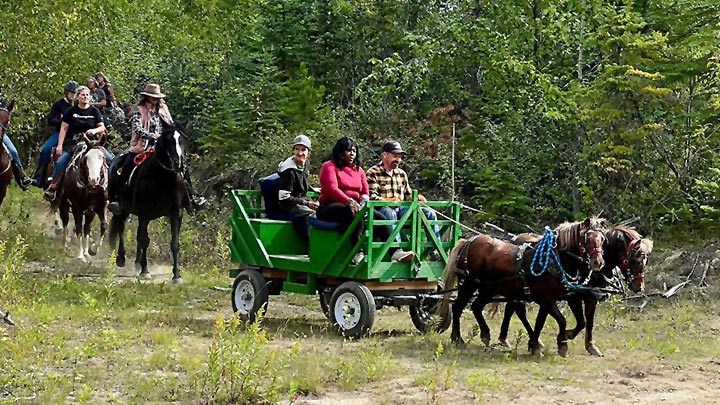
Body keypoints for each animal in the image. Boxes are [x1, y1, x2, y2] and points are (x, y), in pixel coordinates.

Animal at [107, 121, 188, 282]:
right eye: (168, 140)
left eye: (182, 140)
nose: (179, 164)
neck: (163, 179)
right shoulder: (145, 213)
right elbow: (144, 240)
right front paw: (145, 271)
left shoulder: (176, 214)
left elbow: (175, 243)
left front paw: (176, 275)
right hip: (122, 209)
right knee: (121, 228)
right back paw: (121, 259)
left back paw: (137, 263)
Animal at [436, 218, 604, 356]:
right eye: (587, 238)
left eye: (602, 239)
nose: (598, 262)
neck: (553, 260)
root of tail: (468, 242)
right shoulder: (546, 299)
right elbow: (561, 320)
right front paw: (562, 344)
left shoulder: (557, 298)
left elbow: (546, 321)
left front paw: (536, 345)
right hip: (468, 285)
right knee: (458, 307)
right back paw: (458, 339)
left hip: (487, 288)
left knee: (476, 307)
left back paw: (485, 335)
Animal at [496, 224, 652, 356]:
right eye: (634, 260)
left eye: (645, 261)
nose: (639, 286)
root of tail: (515, 238)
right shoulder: (573, 297)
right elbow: (580, 321)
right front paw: (566, 336)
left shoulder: (591, 297)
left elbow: (588, 322)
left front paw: (590, 346)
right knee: (517, 309)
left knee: (513, 308)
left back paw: (509, 339)